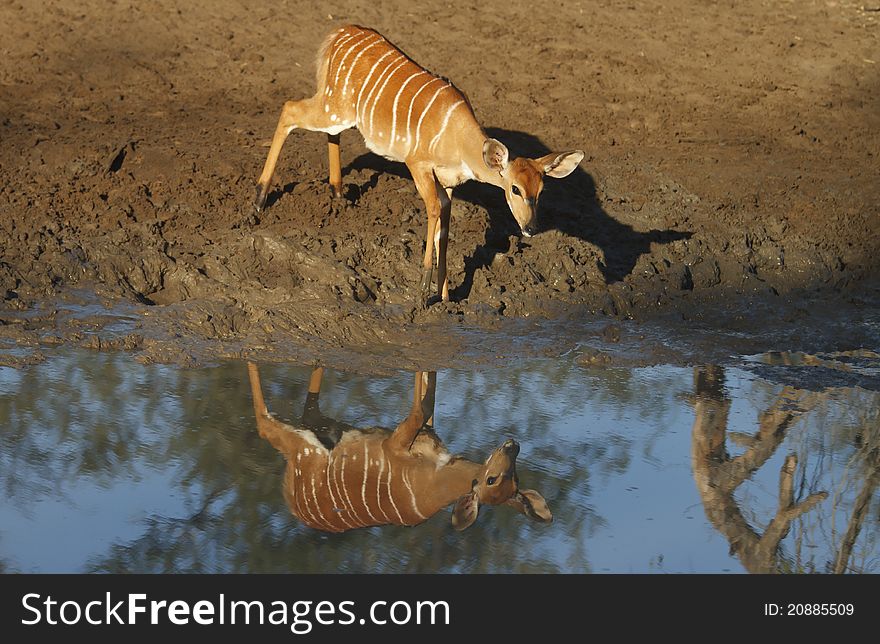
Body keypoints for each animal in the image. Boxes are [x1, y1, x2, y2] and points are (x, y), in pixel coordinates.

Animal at [248, 362, 552, 532]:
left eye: (513, 479)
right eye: (493, 478)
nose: (513, 445)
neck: (434, 479)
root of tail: (293, 503)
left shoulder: (402, 439)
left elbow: (423, 404)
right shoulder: (399, 441)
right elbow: (424, 400)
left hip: (315, 436)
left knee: (283, 417)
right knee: (269, 421)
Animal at [254, 26, 584, 304]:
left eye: (540, 191)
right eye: (514, 188)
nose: (530, 228)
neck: (458, 137)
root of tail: (338, 33)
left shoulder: (449, 183)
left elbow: (445, 228)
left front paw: (446, 296)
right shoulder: (418, 165)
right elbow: (434, 212)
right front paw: (424, 290)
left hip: (337, 110)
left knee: (328, 131)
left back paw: (336, 192)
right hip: (334, 105)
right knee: (289, 109)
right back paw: (258, 200)